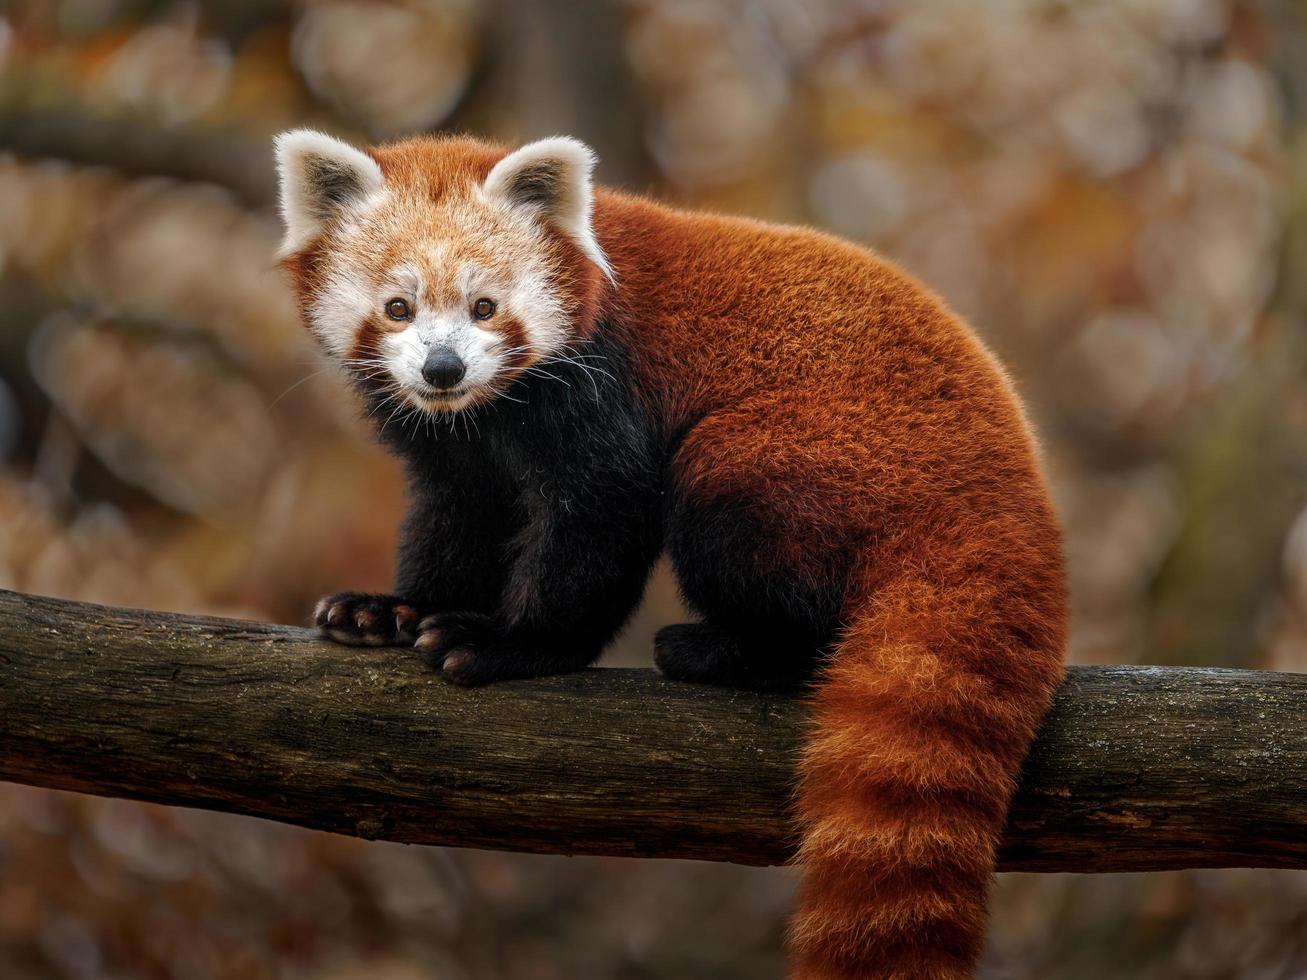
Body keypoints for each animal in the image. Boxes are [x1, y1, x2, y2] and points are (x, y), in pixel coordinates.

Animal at [275, 130, 1071, 980]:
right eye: (398, 309)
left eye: (484, 307)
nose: (443, 369)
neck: (490, 408)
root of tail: (1011, 497)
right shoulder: (456, 445)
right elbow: (459, 518)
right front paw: (391, 610)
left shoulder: (601, 387)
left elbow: (601, 520)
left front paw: (509, 642)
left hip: (801, 457)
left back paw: (726, 650)